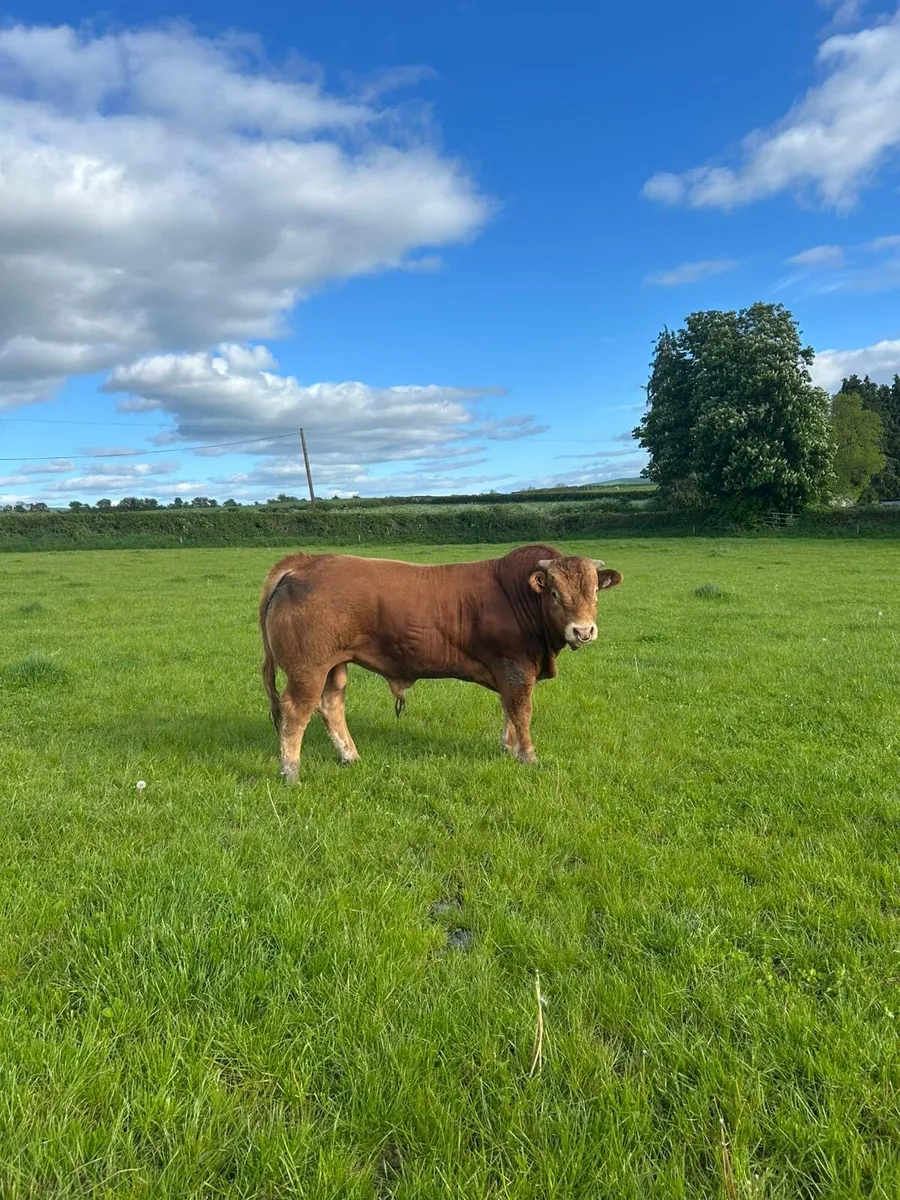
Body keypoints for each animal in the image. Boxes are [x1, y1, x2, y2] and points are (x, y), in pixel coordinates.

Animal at [259, 543, 622, 781]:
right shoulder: (517, 668)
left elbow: (509, 710)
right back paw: (291, 773)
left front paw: (508, 747)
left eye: (594, 591)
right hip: (308, 669)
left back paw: (350, 756)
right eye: (555, 594)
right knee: (295, 713)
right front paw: (528, 756)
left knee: (331, 705)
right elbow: (522, 712)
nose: (583, 630)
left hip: (334, 665)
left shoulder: (511, 674)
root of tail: (304, 562)